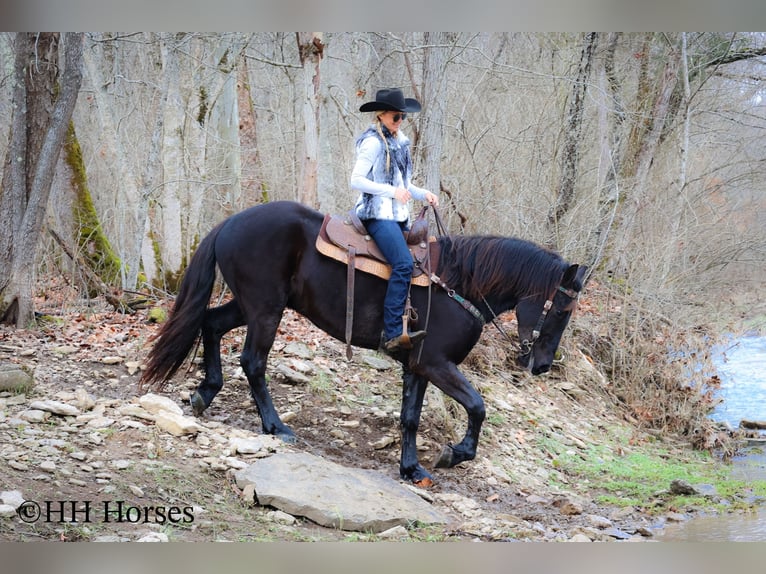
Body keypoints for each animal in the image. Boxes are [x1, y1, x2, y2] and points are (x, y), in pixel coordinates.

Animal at [140, 200, 586, 487]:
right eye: (561, 310)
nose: (542, 365)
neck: (457, 283)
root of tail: (230, 223)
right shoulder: (438, 364)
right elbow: (477, 407)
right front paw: (453, 454)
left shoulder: (418, 366)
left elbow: (410, 418)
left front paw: (412, 470)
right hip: (265, 309)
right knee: (253, 362)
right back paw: (275, 426)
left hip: (254, 305)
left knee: (212, 324)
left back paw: (205, 393)